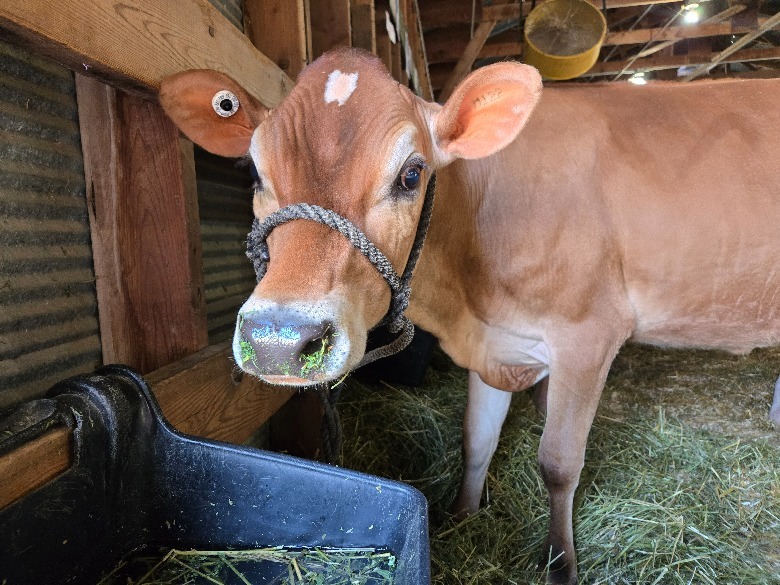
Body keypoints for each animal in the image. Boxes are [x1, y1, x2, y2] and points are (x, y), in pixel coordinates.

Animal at [160, 48, 780, 584]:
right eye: (255, 172)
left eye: (412, 174)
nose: (280, 340)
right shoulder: (498, 345)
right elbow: (476, 439)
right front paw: (460, 517)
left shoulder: (589, 333)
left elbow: (559, 461)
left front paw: (560, 563)